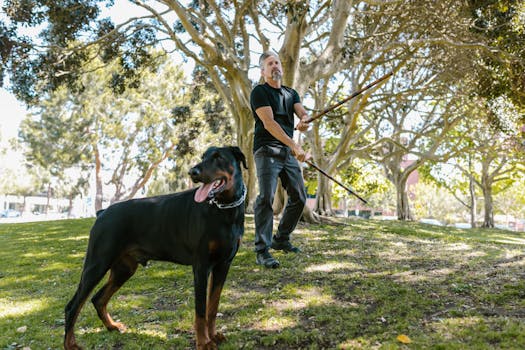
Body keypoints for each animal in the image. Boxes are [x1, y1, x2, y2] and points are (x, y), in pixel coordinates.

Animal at [64, 146, 248, 350]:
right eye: (203, 157)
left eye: (218, 157)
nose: (193, 172)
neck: (225, 209)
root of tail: (102, 213)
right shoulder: (201, 266)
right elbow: (200, 310)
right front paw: (204, 342)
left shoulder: (223, 264)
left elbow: (212, 307)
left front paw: (213, 336)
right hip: (97, 263)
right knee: (73, 306)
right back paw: (71, 344)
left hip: (124, 268)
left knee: (98, 298)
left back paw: (112, 326)